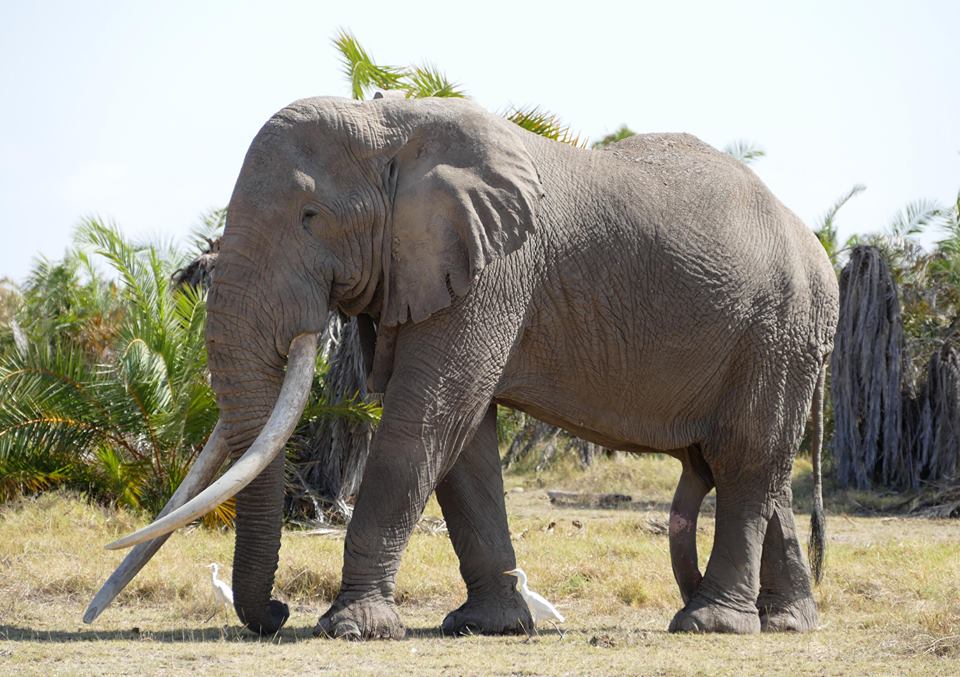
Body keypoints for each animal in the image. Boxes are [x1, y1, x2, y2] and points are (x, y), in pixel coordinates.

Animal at [90, 96, 840, 640]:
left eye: (310, 216)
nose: (274, 614)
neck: (392, 127)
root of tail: (818, 249)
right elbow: (464, 437)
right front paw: (487, 627)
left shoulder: (495, 269)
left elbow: (427, 414)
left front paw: (353, 629)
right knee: (756, 468)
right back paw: (785, 622)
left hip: (782, 326)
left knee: (745, 458)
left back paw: (711, 624)